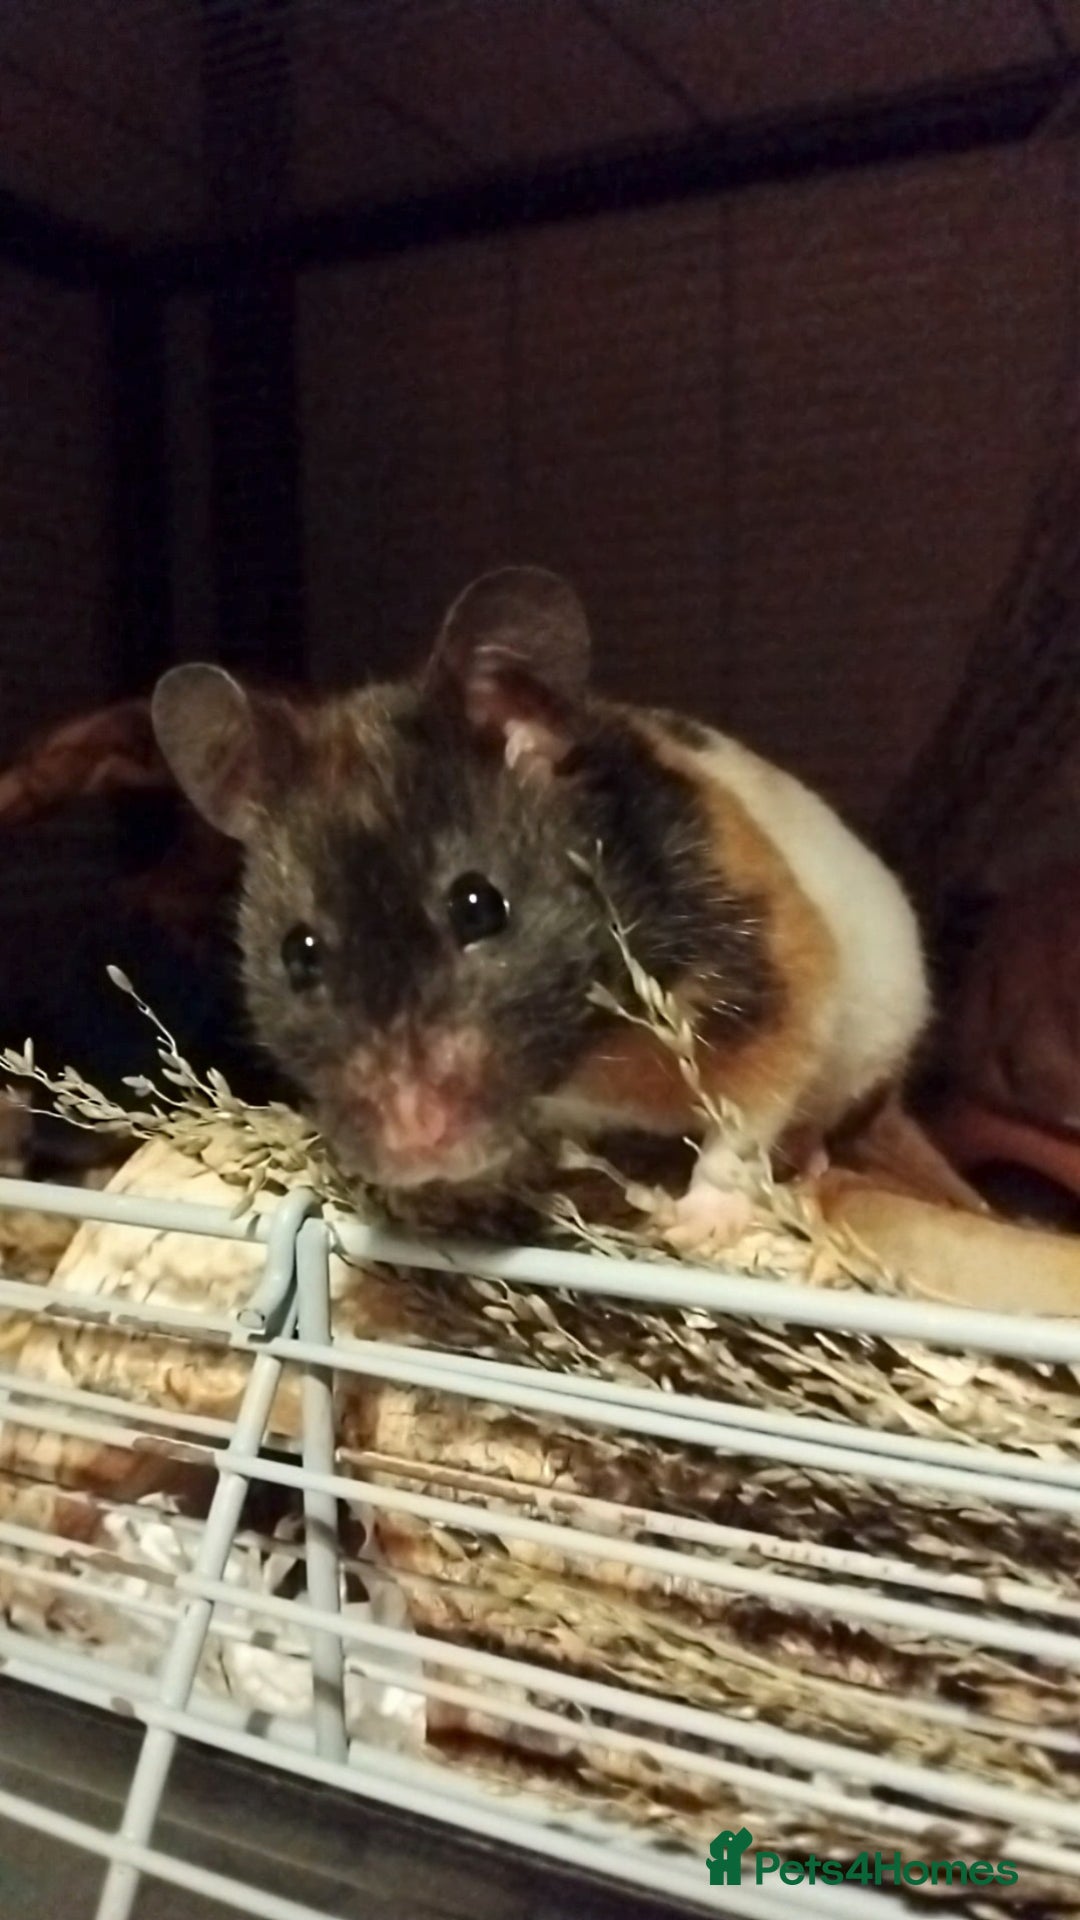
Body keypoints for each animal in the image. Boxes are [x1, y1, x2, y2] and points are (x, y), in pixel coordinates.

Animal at [151, 567, 930, 1247]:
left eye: (478, 907)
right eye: (298, 954)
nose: (415, 1149)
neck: (583, 1054)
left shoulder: (778, 983)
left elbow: (737, 1126)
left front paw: (693, 1228)